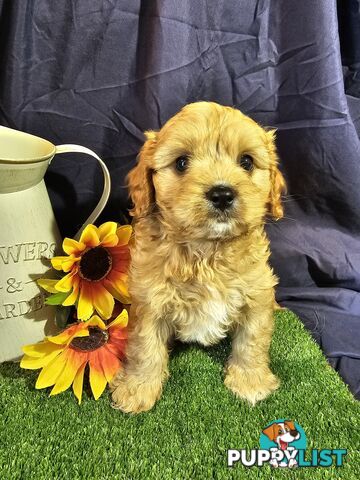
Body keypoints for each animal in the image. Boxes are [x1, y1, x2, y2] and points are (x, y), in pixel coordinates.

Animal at [111, 101, 286, 412]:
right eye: (181, 162)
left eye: (247, 162)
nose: (222, 193)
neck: (207, 251)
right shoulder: (149, 301)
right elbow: (144, 347)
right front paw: (137, 389)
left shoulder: (257, 294)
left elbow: (252, 340)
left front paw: (250, 382)